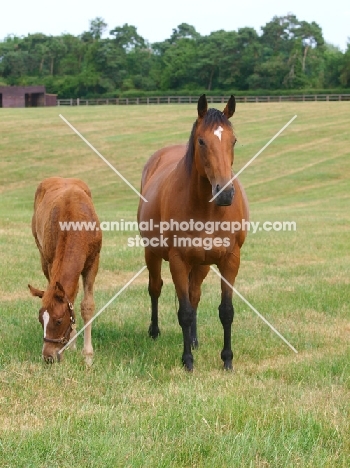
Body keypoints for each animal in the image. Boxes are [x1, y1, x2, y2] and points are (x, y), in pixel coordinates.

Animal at [28, 177, 101, 364]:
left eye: (59, 321)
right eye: (41, 320)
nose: (48, 357)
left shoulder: (93, 262)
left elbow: (87, 306)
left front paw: (88, 355)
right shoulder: (50, 261)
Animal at [137, 95, 249, 372]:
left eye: (233, 140)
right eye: (201, 141)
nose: (225, 193)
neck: (207, 209)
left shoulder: (230, 260)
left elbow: (225, 311)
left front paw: (227, 359)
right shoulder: (177, 261)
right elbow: (184, 312)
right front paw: (187, 361)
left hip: (202, 264)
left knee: (194, 294)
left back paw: (195, 340)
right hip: (152, 254)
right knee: (155, 288)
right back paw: (154, 331)